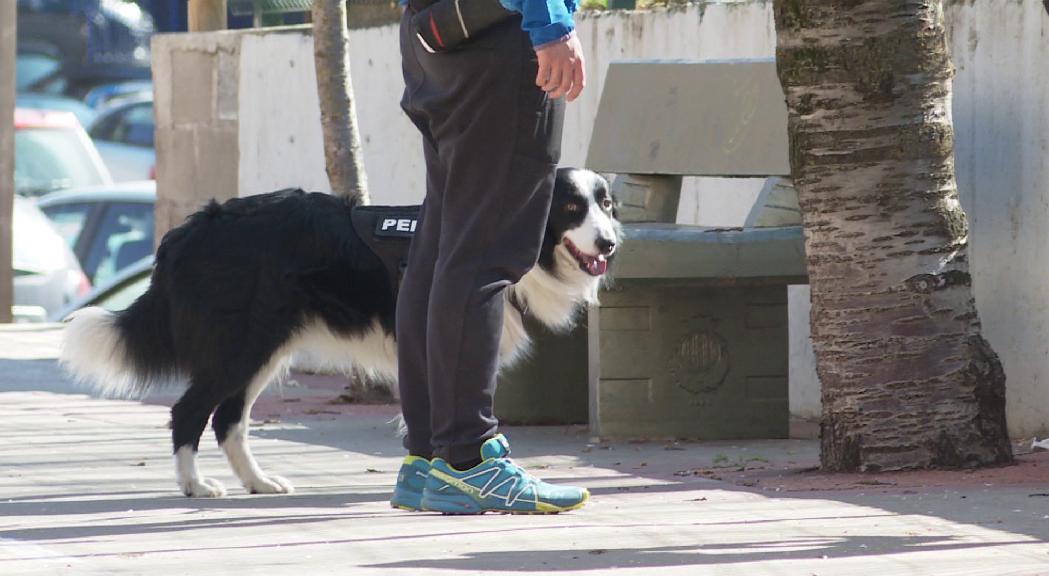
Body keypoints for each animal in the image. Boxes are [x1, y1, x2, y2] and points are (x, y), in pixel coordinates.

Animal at [61, 165, 616, 493]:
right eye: (571, 208)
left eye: (607, 205)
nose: (609, 243)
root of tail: (195, 226)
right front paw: (447, 477)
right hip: (243, 345)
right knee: (190, 411)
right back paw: (195, 485)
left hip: (264, 348)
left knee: (228, 420)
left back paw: (259, 483)